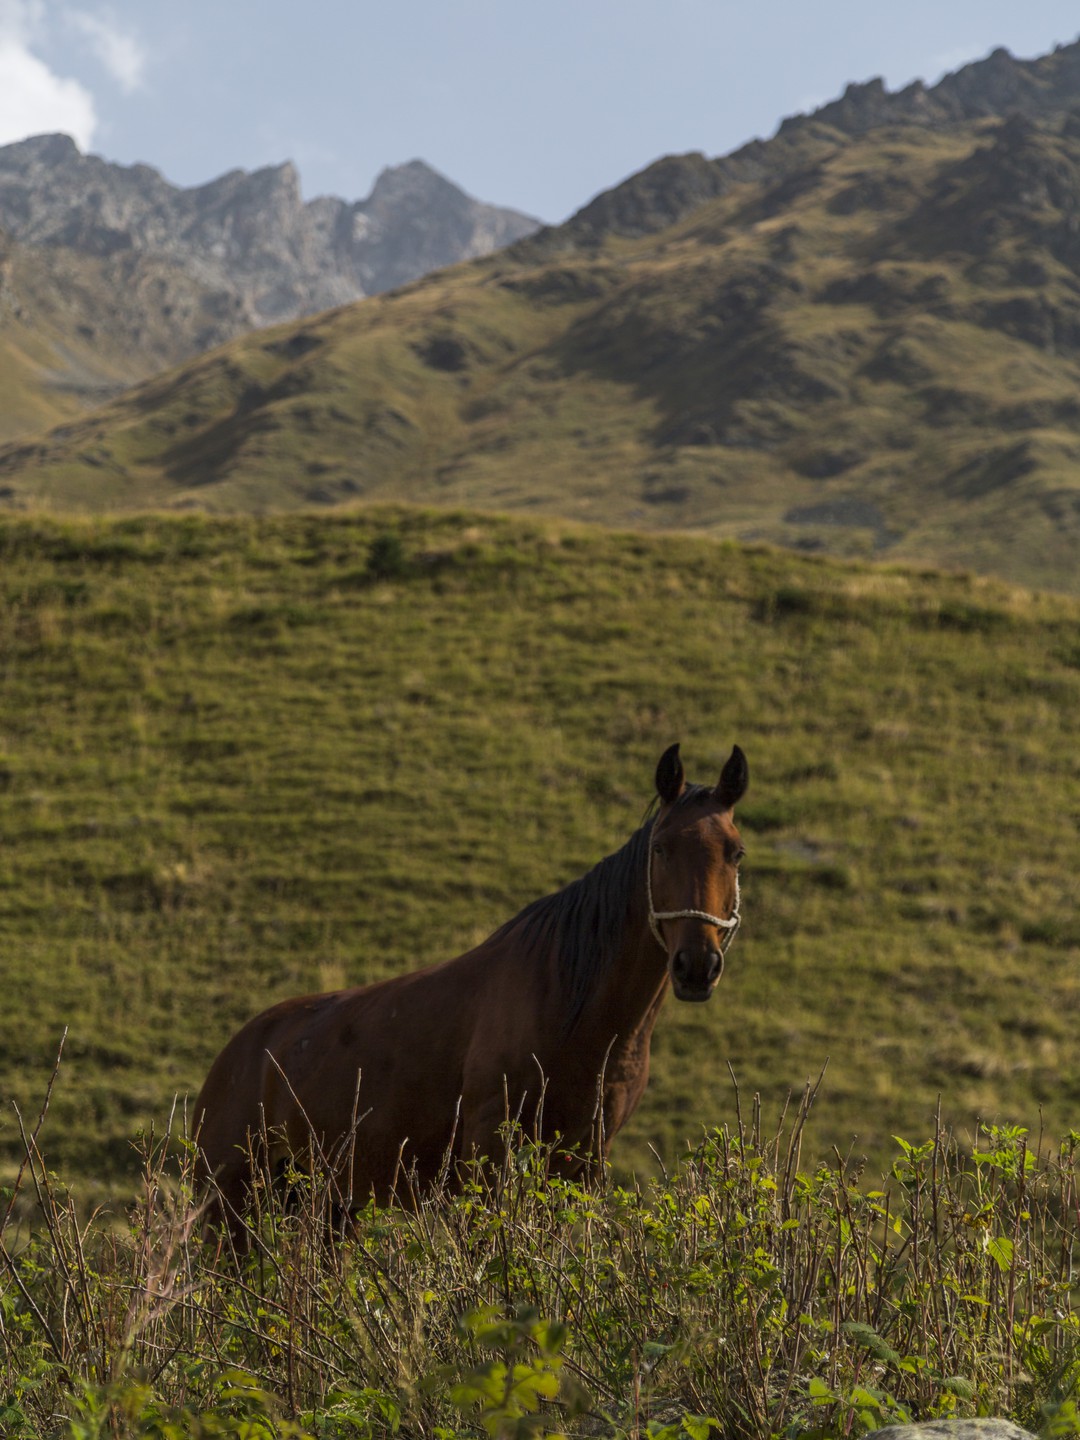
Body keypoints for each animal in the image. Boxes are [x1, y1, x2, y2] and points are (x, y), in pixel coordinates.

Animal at [194, 743, 748, 1226]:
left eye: (736, 853)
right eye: (661, 848)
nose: (697, 965)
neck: (572, 1013)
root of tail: (233, 1056)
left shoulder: (581, 1164)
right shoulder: (488, 1158)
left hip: (328, 1206)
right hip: (230, 1210)